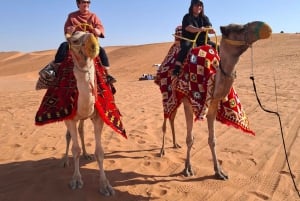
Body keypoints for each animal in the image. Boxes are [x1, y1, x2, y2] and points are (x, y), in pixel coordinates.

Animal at [63, 31, 115, 196]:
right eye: (74, 40)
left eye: (94, 34)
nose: (92, 44)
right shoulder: (70, 118)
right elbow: (75, 149)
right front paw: (76, 180)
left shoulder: (98, 118)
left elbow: (100, 152)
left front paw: (105, 185)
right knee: (68, 136)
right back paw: (65, 161)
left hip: (84, 117)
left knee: (81, 130)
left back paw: (86, 154)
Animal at [157, 21, 272, 180]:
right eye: (238, 29)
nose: (265, 27)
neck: (211, 78)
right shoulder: (188, 103)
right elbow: (190, 139)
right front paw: (187, 169)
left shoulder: (212, 106)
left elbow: (212, 140)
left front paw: (219, 172)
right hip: (167, 93)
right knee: (166, 119)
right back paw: (162, 151)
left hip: (177, 98)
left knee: (172, 117)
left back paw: (175, 144)